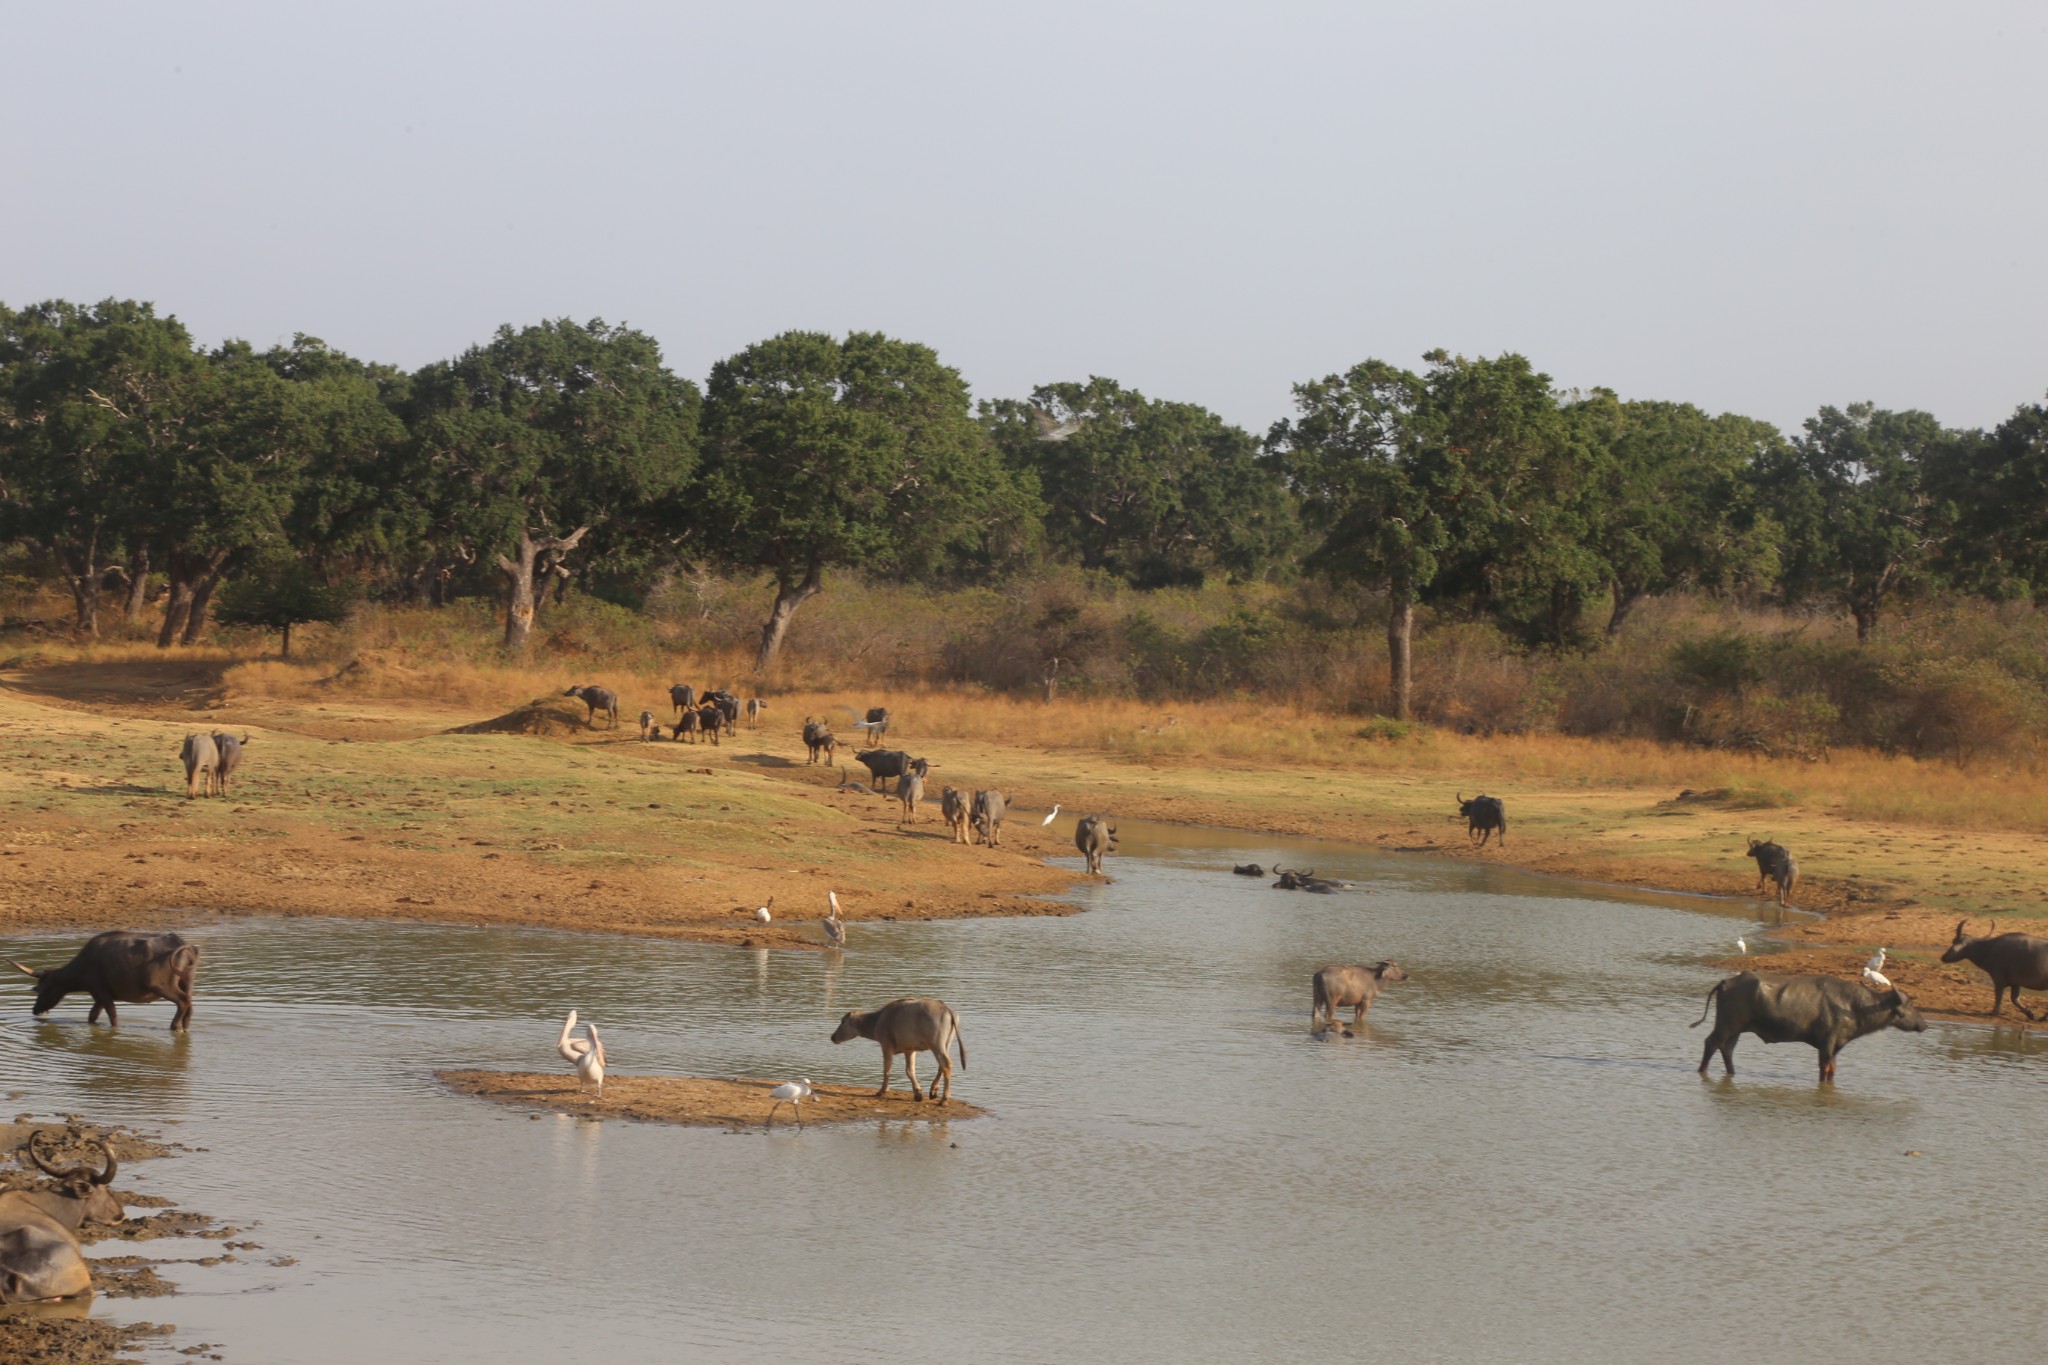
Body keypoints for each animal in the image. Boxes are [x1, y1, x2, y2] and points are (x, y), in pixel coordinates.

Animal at [8, 929, 200, 1035]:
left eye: (39, 988)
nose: (35, 1010)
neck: (80, 974)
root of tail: (188, 947)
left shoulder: (101, 992)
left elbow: (113, 1017)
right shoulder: (99, 996)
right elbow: (92, 1017)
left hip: (162, 986)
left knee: (182, 1002)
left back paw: (174, 1027)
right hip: (187, 981)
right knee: (190, 1006)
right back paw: (184, 1029)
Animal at [827, 998, 962, 1105]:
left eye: (843, 1021)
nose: (832, 1037)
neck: (878, 1019)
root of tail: (946, 1008)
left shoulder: (886, 1047)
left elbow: (887, 1070)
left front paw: (882, 1091)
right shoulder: (910, 1050)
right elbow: (910, 1071)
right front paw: (917, 1093)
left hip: (936, 1045)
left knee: (946, 1064)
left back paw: (944, 1100)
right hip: (945, 1045)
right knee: (942, 1066)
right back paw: (933, 1091)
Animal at [1687, 970, 1925, 1088]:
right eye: (1910, 1005)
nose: (1924, 1024)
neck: (1853, 1006)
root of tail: (1726, 982)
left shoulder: (1835, 1046)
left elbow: (1832, 1069)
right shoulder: (1827, 1044)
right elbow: (1824, 1069)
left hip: (1735, 1029)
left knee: (1726, 1049)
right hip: (1728, 1024)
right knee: (1712, 1043)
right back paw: (1702, 1072)